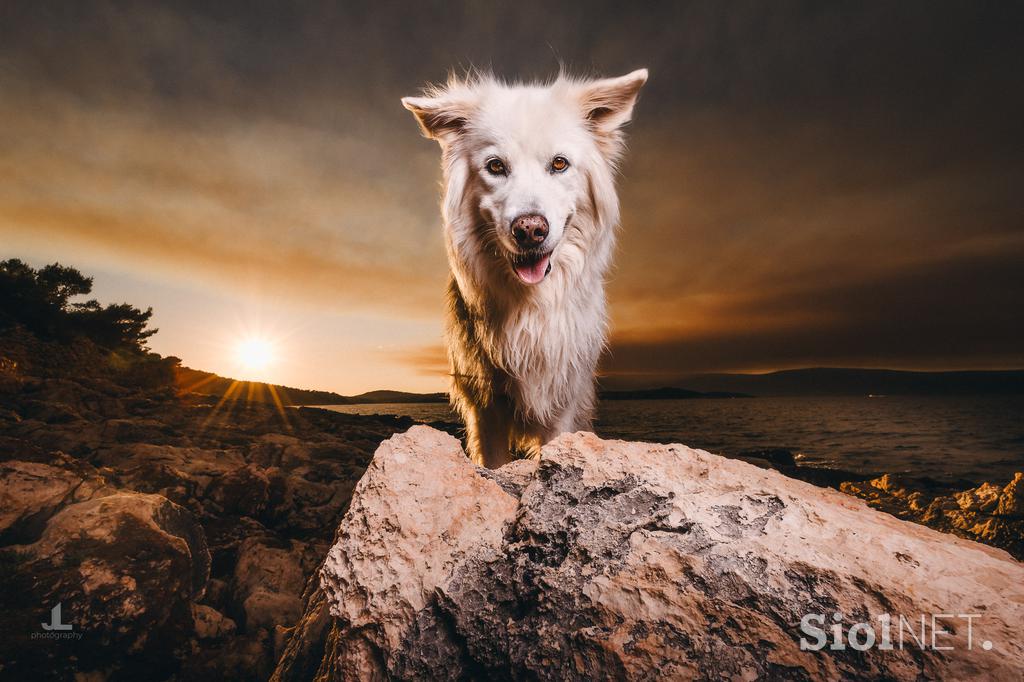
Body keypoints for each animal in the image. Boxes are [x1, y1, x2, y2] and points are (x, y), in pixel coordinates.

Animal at [401, 69, 647, 466]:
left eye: (559, 163)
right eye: (495, 166)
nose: (530, 230)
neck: (530, 304)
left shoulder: (561, 405)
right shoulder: (486, 407)